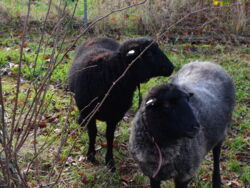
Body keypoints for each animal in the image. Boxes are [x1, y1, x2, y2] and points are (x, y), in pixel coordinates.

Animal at [68, 36, 174, 170]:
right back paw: (81, 122)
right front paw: (91, 156)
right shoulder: (89, 112)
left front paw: (110, 161)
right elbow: (92, 133)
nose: (171, 67)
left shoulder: (115, 115)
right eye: (149, 53)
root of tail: (100, 37)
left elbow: (110, 136)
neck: (111, 74)